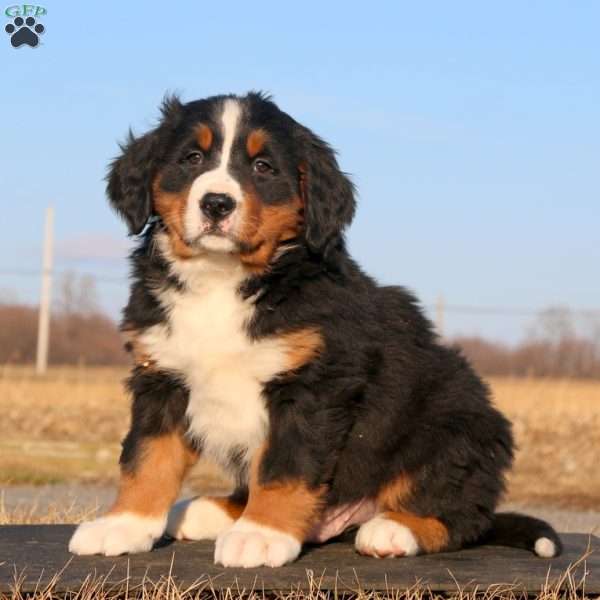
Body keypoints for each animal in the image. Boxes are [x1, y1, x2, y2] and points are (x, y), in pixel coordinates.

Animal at [70, 91, 564, 564]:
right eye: (192, 158)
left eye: (263, 167)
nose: (216, 203)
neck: (224, 278)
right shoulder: (161, 377)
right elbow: (147, 458)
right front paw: (124, 525)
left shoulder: (313, 384)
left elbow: (284, 466)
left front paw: (261, 535)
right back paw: (207, 511)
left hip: (455, 421)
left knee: (464, 515)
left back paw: (393, 529)